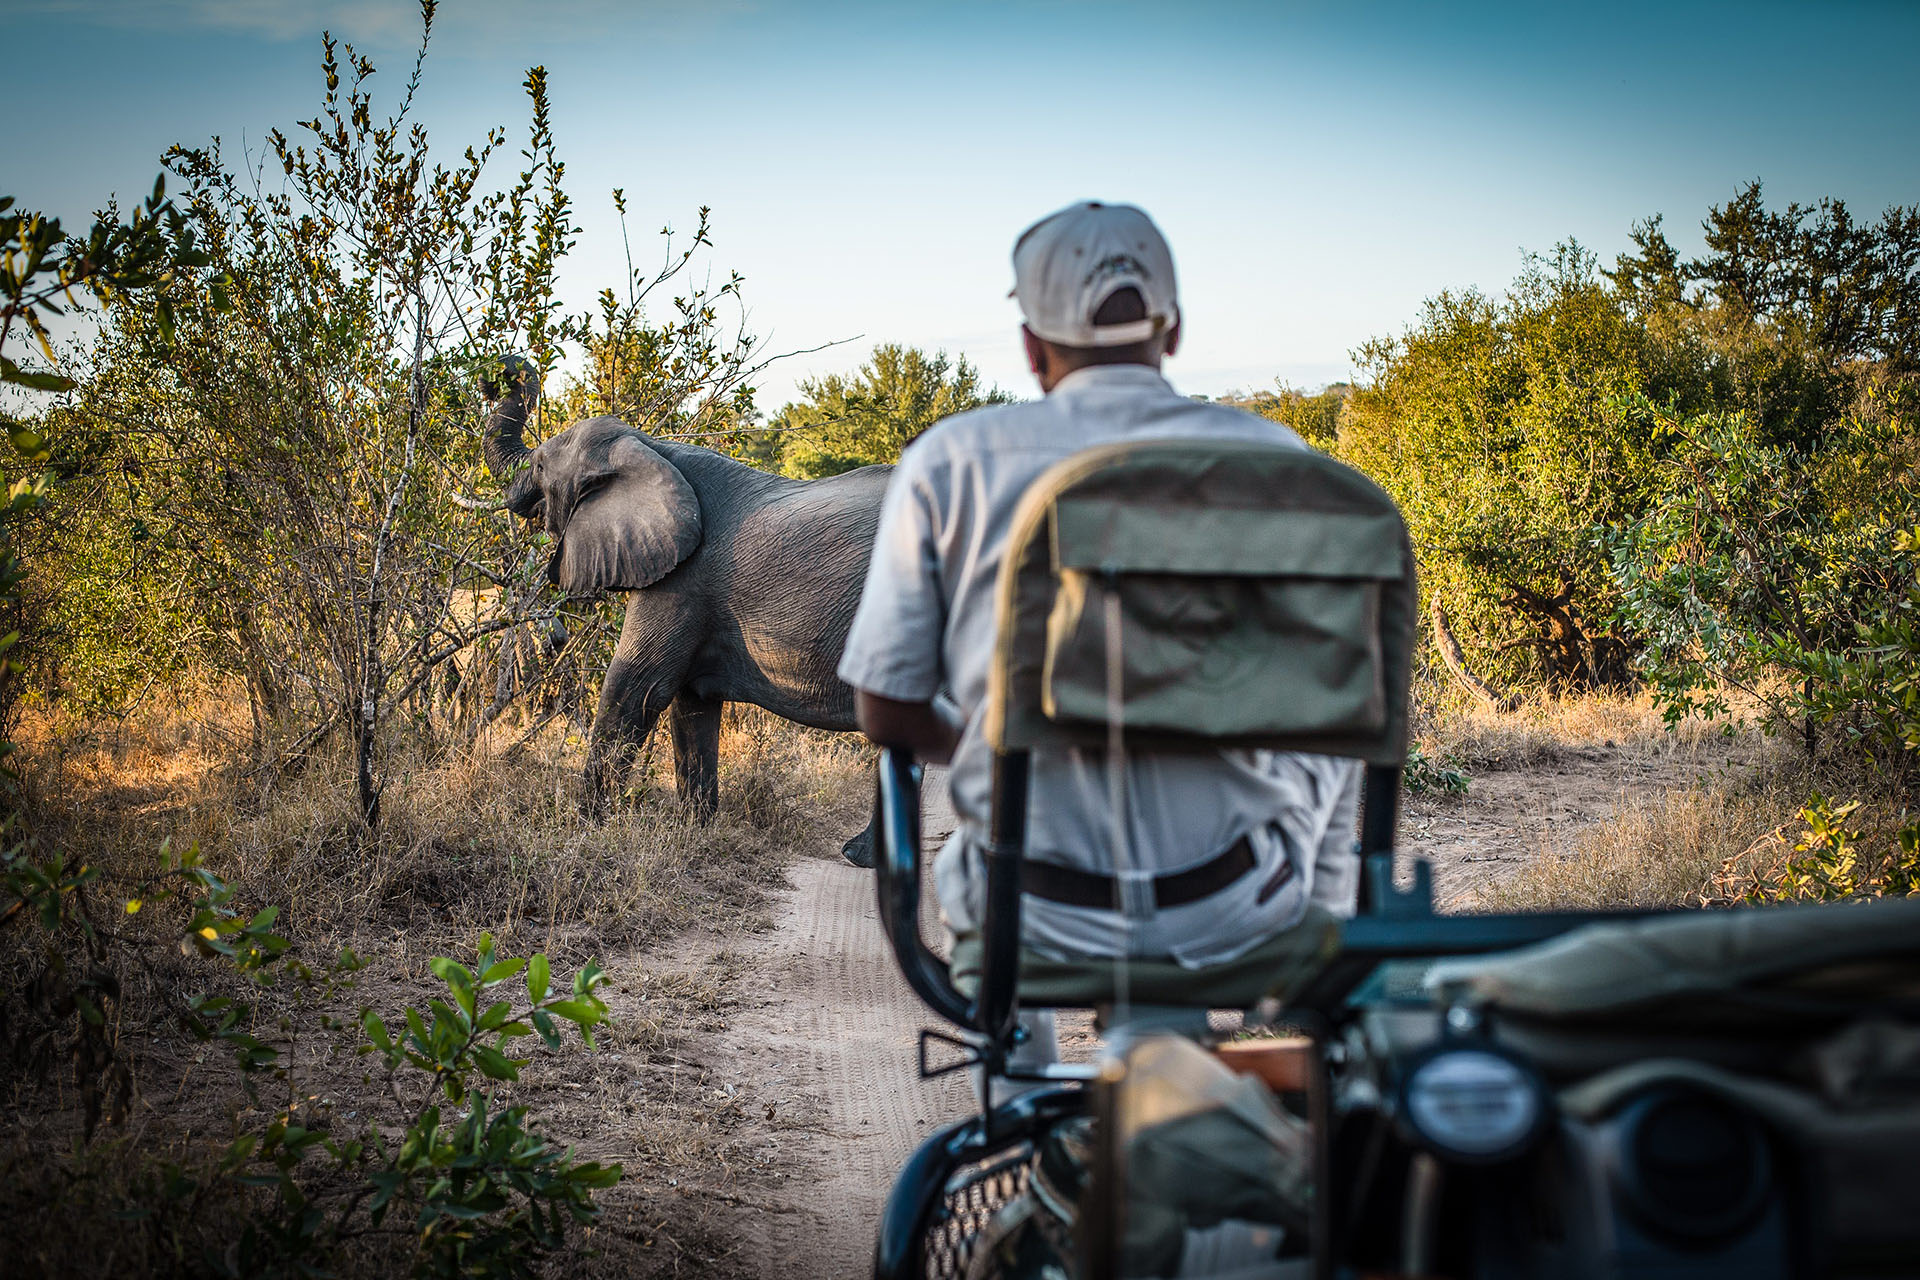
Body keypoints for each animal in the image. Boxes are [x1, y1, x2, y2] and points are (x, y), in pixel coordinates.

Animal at [479, 357, 890, 866]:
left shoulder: (682, 580)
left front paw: (581, 831)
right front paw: (694, 832)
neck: (650, 448)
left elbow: (635, 688)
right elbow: (691, 705)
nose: (497, 371)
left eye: (538, 465)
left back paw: (859, 857)